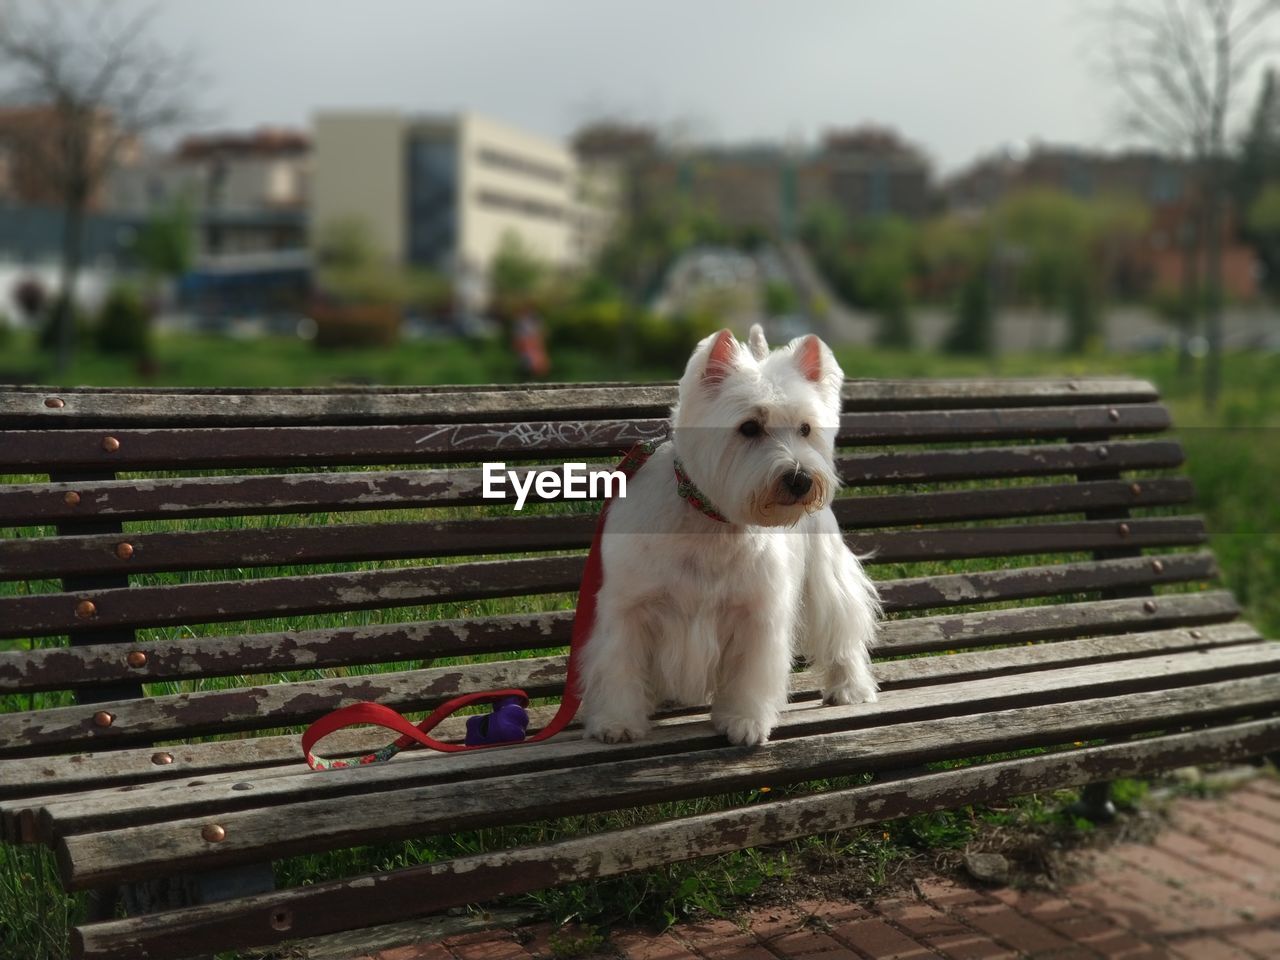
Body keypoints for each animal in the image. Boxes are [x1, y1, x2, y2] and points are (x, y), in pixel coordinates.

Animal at [581, 327, 880, 747]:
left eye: (806, 428)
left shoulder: (756, 612)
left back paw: (851, 689)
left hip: (824, 575)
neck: (711, 520)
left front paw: (744, 721)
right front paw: (617, 722)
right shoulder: (629, 608)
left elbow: (750, 672)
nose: (800, 479)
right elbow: (619, 663)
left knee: (841, 632)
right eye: (749, 427)